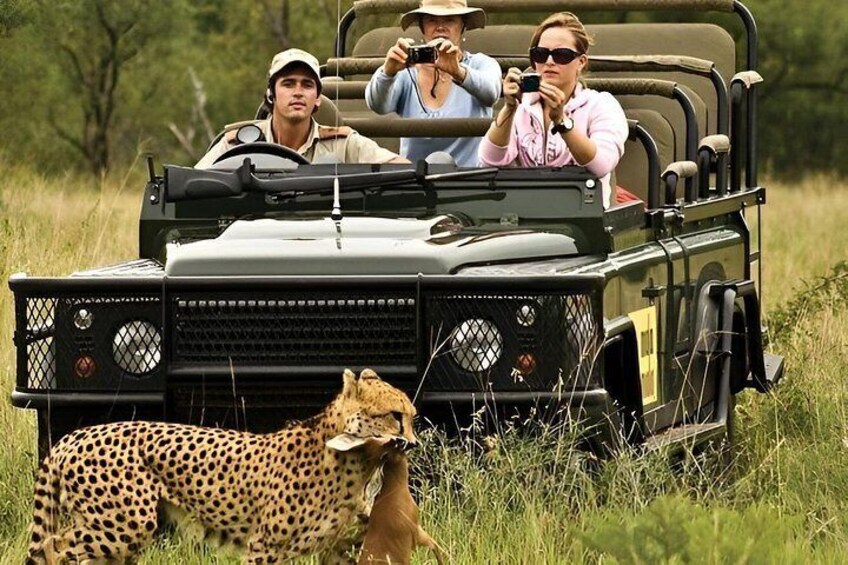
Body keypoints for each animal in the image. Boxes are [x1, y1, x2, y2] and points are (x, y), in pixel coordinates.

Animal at [25, 368, 417, 565]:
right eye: (394, 416)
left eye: (412, 417)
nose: (413, 443)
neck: (354, 459)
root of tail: (75, 435)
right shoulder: (265, 546)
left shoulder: (338, 549)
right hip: (124, 524)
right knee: (52, 548)